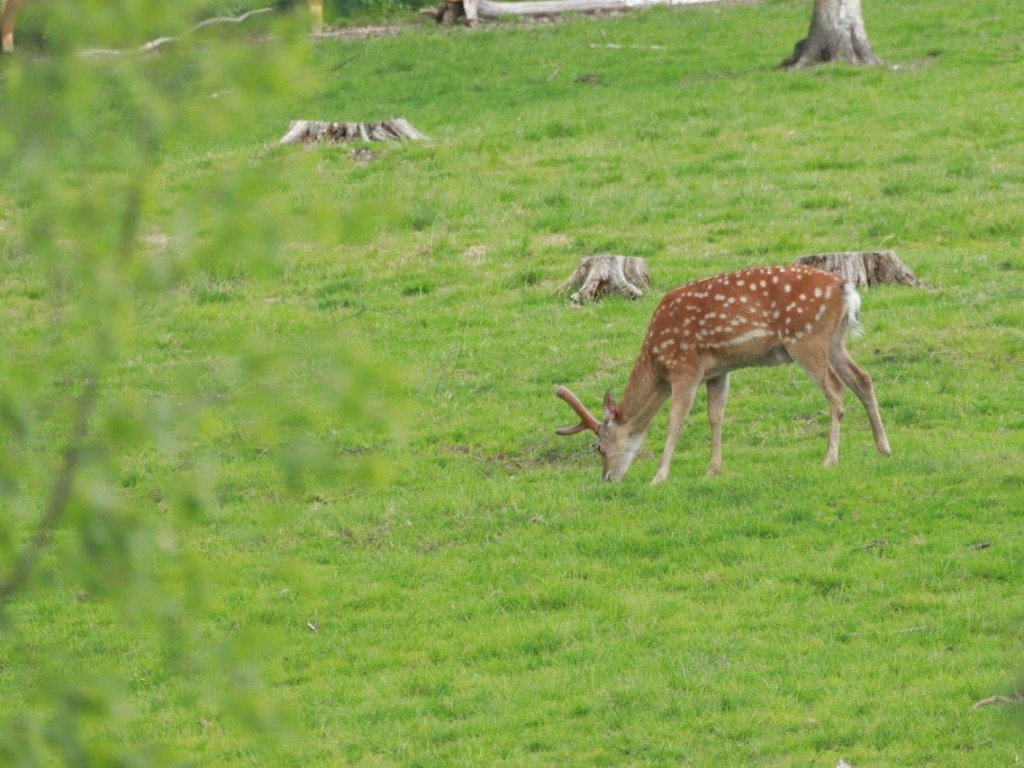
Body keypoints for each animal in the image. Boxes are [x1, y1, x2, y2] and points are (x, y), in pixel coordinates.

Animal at [552, 264, 888, 481]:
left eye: (599, 447)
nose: (607, 478)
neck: (656, 359)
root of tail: (847, 290)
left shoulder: (685, 366)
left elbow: (676, 419)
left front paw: (659, 476)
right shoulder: (717, 370)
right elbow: (716, 415)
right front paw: (713, 469)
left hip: (806, 338)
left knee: (836, 388)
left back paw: (830, 459)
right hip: (834, 341)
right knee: (863, 378)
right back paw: (883, 448)